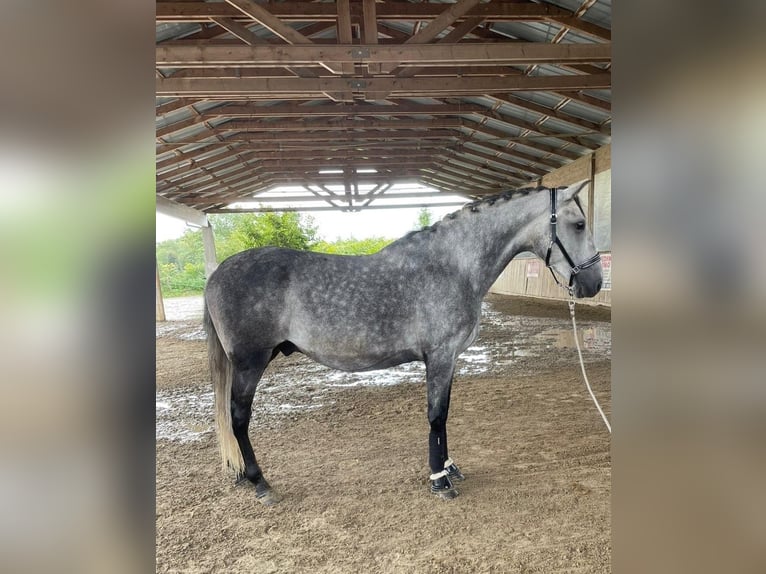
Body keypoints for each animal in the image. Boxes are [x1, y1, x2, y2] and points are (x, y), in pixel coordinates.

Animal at [203, 180, 603, 504]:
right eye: (579, 224)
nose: (594, 283)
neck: (452, 266)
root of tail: (217, 274)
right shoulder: (440, 356)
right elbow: (436, 415)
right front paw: (440, 480)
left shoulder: (449, 359)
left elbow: (444, 414)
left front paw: (449, 467)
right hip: (250, 363)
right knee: (238, 419)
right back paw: (260, 483)